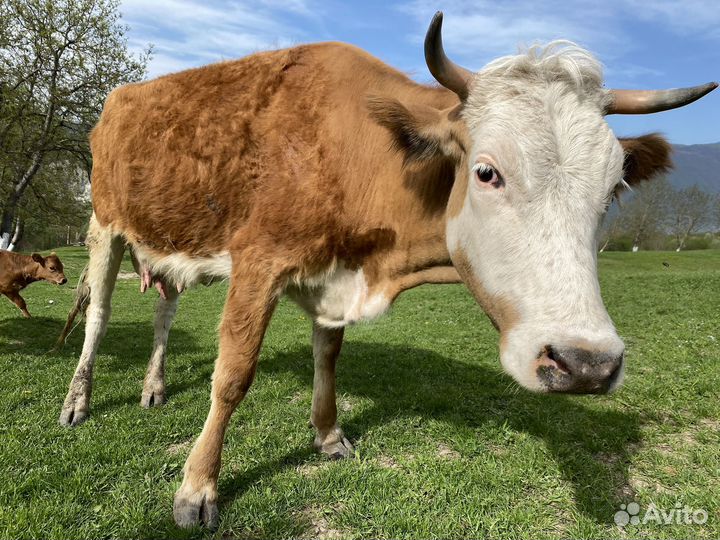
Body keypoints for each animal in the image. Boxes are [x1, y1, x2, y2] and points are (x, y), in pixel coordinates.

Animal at [58, 12, 716, 528]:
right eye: (486, 172)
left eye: (613, 189)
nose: (585, 363)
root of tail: (122, 96)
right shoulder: (258, 264)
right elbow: (232, 376)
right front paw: (197, 488)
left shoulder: (331, 281)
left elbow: (327, 357)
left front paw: (328, 436)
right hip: (105, 224)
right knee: (99, 317)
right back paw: (78, 402)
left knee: (164, 313)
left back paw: (154, 387)